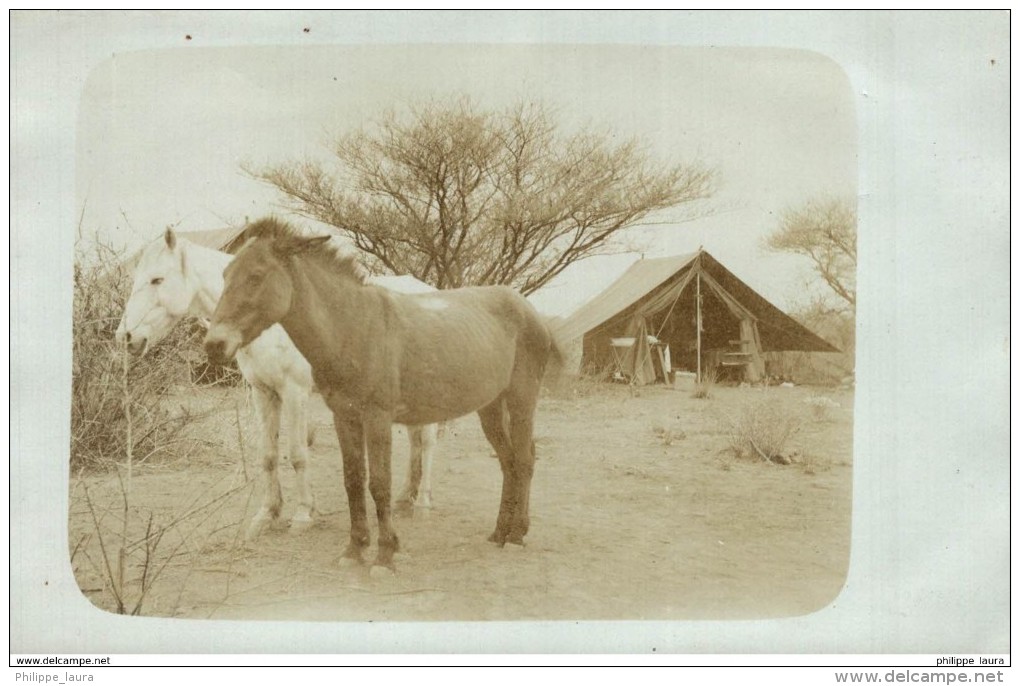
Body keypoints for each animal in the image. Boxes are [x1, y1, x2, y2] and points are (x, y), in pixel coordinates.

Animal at [116, 227, 442, 538]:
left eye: (157, 279)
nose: (126, 337)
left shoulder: (294, 392)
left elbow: (297, 455)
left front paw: (303, 514)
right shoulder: (263, 393)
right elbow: (268, 456)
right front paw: (267, 515)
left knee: (426, 442)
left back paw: (423, 503)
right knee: (416, 441)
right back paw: (404, 499)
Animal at [204, 218, 563, 566]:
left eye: (256, 276)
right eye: (224, 275)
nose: (214, 345)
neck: (353, 327)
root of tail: (528, 309)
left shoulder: (377, 417)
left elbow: (379, 483)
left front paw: (385, 553)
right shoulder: (344, 416)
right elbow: (353, 480)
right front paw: (355, 549)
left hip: (521, 399)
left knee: (524, 459)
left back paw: (515, 535)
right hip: (490, 406)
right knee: (509, 461)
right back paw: (501, 532)